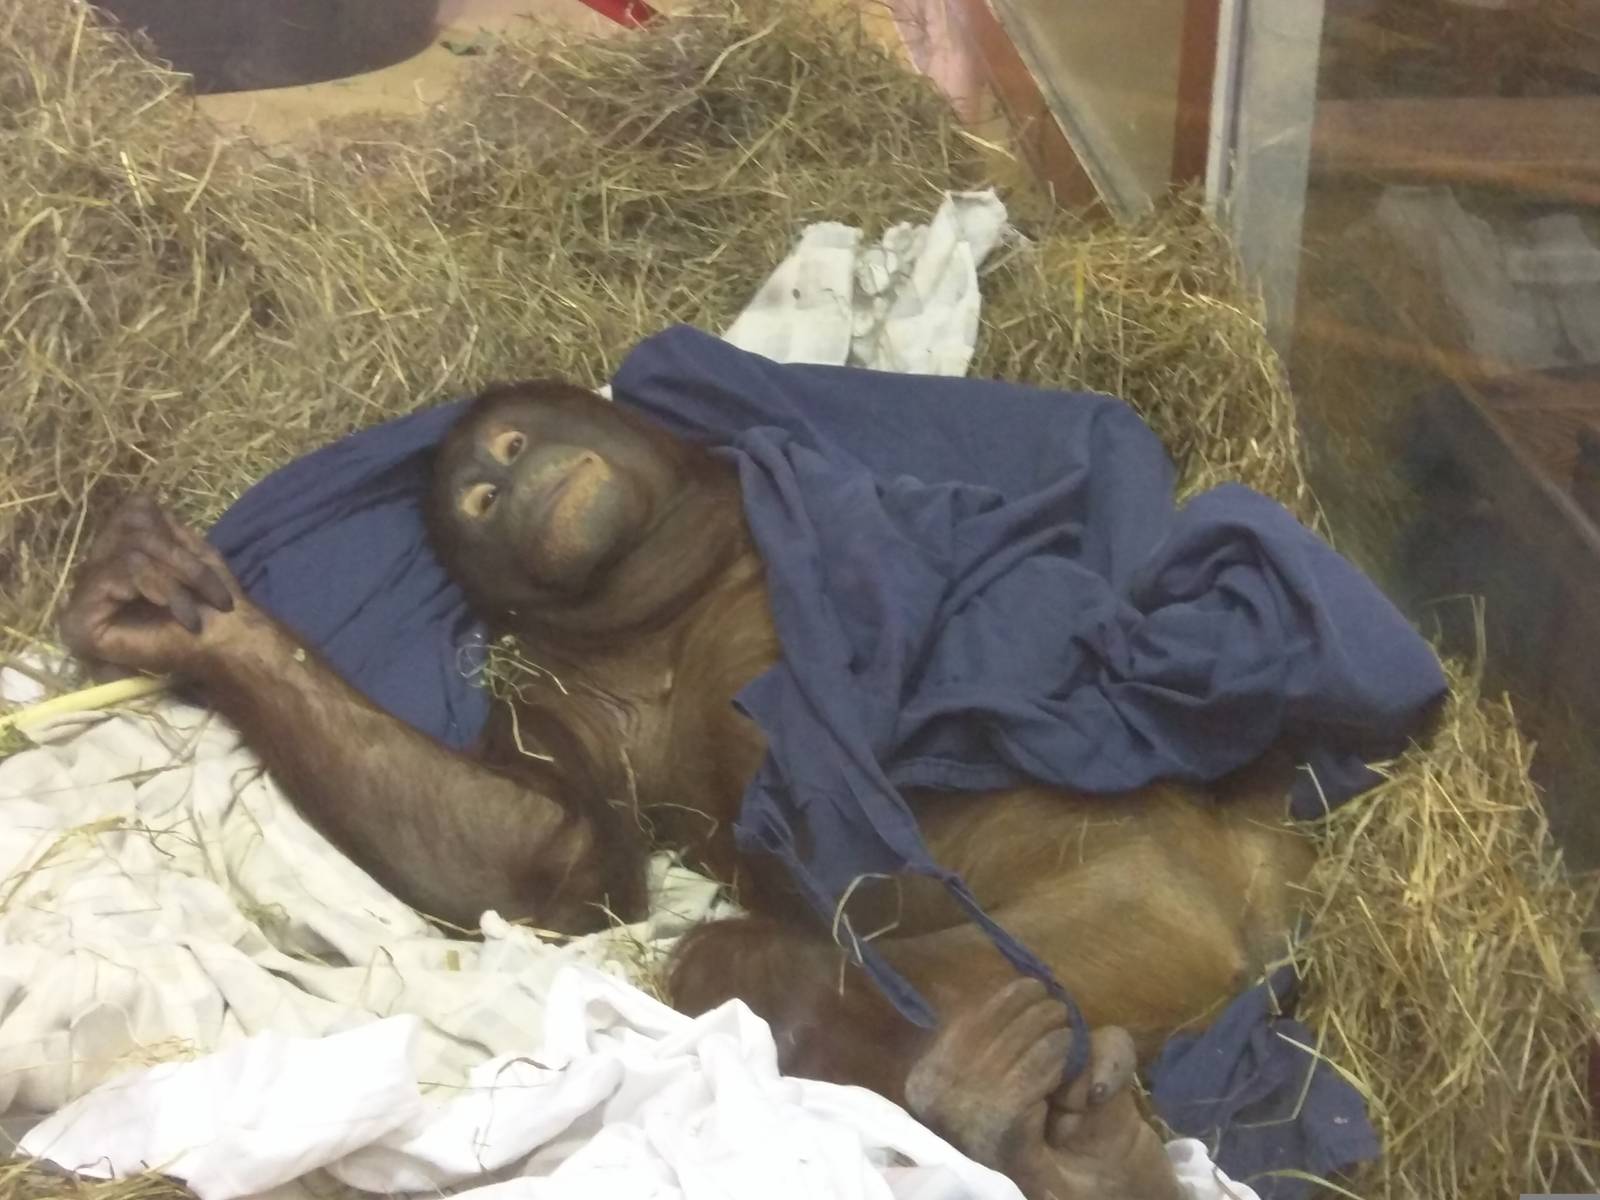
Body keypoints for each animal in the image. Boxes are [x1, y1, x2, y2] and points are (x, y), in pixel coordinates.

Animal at [61, 380, 1317, 1198]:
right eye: (475, 502)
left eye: (509, 440)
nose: (501, 475)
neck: (663, 590)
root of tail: (1255, 926)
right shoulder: (556, 696)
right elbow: (560, 858)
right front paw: (201, 631)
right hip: (1113, 947)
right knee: (737, 966)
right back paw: (1032, 1126)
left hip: (1140, 907)